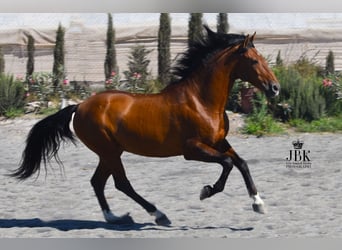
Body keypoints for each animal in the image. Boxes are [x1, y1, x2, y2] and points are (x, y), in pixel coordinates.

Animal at [11, 25, 280, 227]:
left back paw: (115, 217)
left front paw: (258, 204)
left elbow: (241, 163)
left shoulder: (218, 141)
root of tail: (79, 106)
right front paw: (206, 191)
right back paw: (158, 215)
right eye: (254, 61)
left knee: (98, 182)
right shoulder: (192, 149)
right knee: (121, 183)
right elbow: (227, 164)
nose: (275, 88)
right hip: (109, 151)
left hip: (110, 152)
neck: (201, 100)